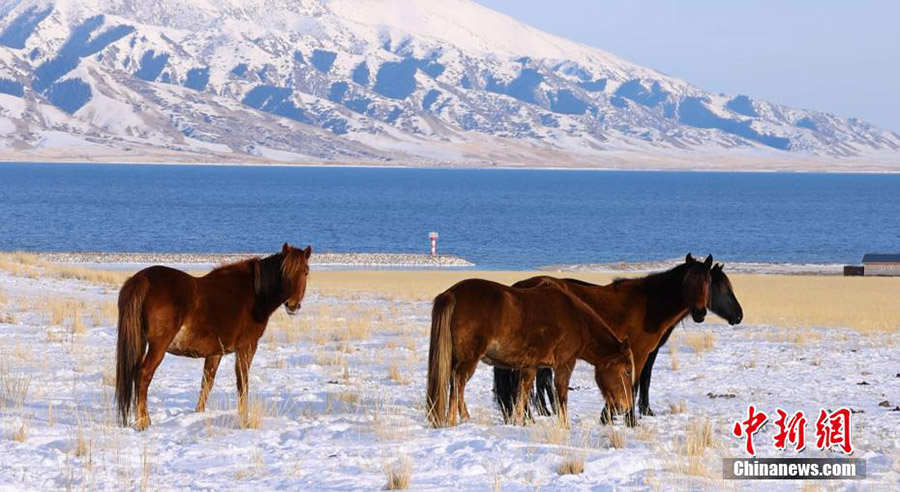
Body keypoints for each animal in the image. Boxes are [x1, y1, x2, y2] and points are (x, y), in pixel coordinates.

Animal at [116, 244, 312, 428]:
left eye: (305, 272)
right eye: (284, 272)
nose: (292, 305)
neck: (255, 294)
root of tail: (142, 279)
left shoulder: (215, 352)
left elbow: (207, 383)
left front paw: (198, 414)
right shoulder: (246, 347)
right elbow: (242, 383)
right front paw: (244, 419)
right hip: (158, 347)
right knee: (143, 375)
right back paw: (143, 422)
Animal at [426, 278, 636, 428]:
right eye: (627, 370)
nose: (626, 406)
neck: (577, 319)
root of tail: (451, 294)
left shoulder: (530, 366)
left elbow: (523, 395)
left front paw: (518, 422)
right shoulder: (565, 365)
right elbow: (561, 396)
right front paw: (565, 426)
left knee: (455, 385)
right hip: (468, 360)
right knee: (458, 384)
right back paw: (455, 420)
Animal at [496, 258, 740, 422]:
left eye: (708, 283)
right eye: (722, 289)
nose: (738, 316)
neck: (649, 305)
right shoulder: (639, 353)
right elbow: (634, 384)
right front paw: (621, 417)